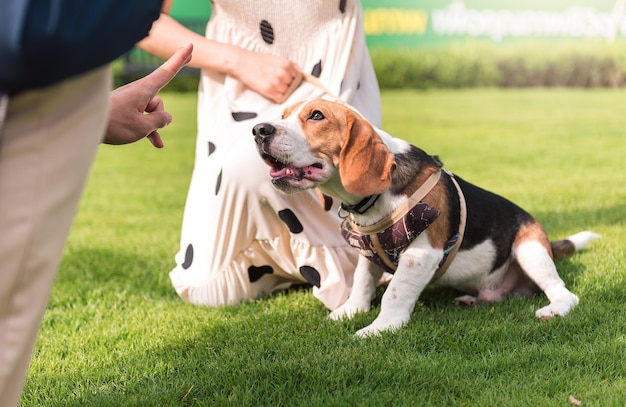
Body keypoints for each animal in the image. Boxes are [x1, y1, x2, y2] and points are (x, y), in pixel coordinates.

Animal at [251, 99, 596, 338]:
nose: (258, 131)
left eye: (316, 116)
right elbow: (362, 282)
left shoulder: (421, 254)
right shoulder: (367, 250)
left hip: (529, 249)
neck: (374, 199)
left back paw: (554, 309)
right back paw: (472, 300)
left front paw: (380, 328)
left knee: (563, 291)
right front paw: (350, 312)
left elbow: (395, 292)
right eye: (284, 115)